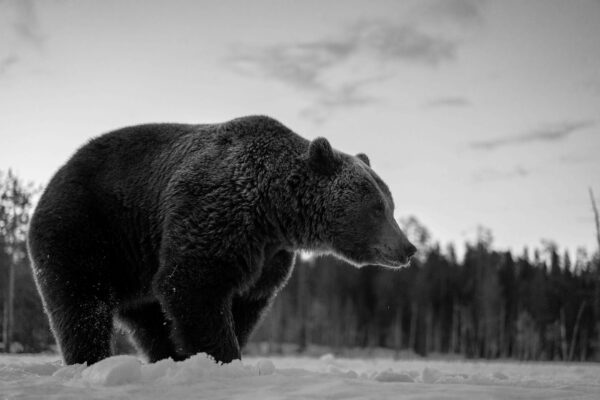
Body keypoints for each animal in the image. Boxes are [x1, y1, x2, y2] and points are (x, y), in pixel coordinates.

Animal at [25, 115, 414, 366]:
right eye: (377, 207)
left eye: (390, 204)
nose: (408, 248)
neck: (273, 213)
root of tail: (56, 174)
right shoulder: (215, 216)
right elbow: (194, 286)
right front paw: (222, 355)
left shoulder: (267, 258)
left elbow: (244, 304)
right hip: (87, 228)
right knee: (81, 303)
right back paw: (89, 360)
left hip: (136, 262)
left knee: (150, 321)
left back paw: (166, 358)